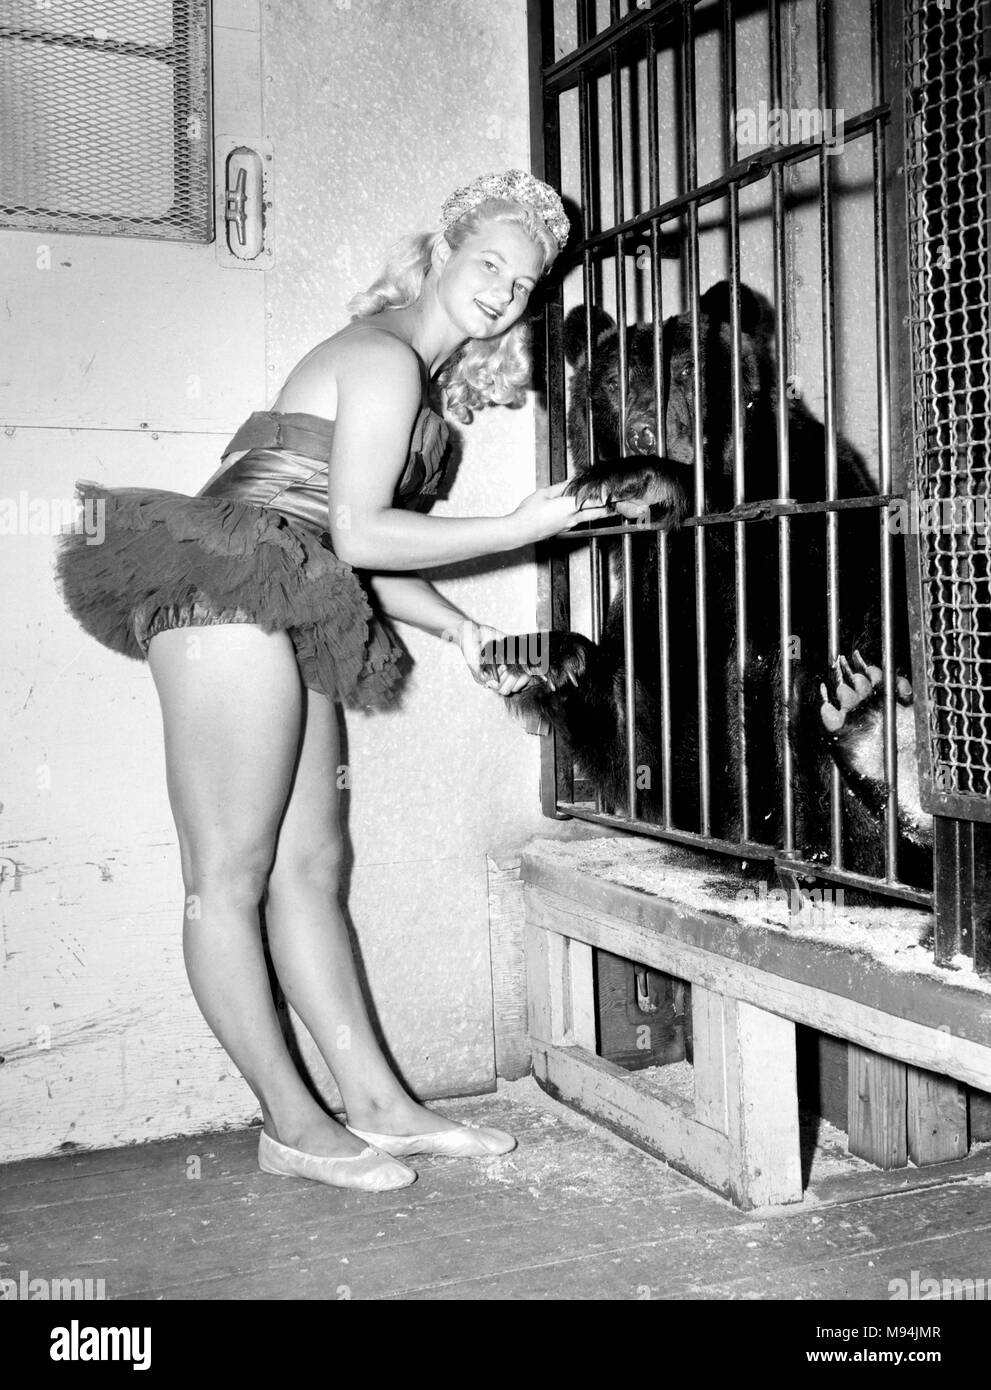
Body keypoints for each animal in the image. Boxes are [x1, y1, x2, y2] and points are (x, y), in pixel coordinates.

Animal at [483, 283, 934, 889]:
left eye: (686, 369)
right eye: (611, 382)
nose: (642, 431)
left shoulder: (806, 487)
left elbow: (812, 571)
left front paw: (642, 475)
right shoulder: (648, 578)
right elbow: (639, 715)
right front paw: (538, 656)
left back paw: (876, 741)